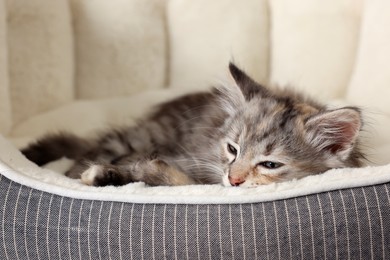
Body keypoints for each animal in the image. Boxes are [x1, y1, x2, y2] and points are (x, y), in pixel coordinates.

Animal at [21, 64, 364, 188]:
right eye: (232, 149)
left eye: (270, 164)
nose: (233, 179)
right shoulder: (195, 160)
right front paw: (109, 173)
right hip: (138, 137)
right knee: (81, 160)